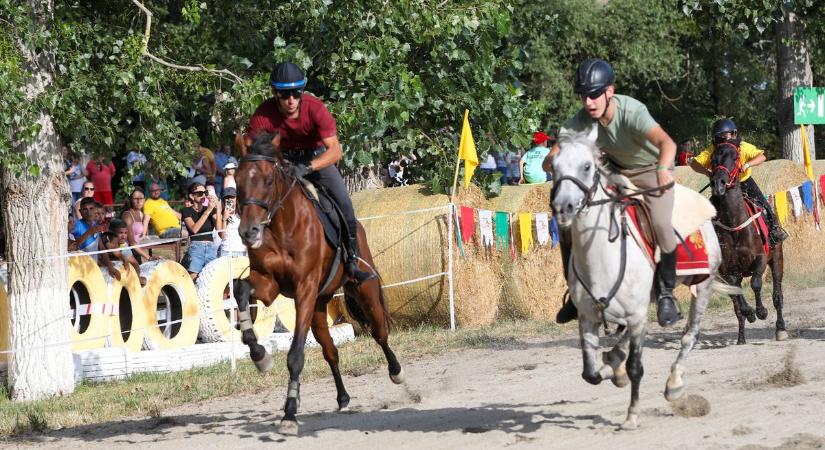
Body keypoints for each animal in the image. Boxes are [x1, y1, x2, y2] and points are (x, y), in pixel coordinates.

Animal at [232, 132, 402, 434]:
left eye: (268, 180)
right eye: (238, 180)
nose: (248, 232)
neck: (281, 227)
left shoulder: (305, 289)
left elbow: (295, 355)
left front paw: (289, 412)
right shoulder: (267, 285)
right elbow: (241, 290)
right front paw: (259, 354)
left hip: (363, 289)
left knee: (379, 333)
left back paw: (396, 371)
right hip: (319, 308)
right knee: (330, 351)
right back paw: (343, 398)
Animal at [552, 125, 736, 428]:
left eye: (587, 166)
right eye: (553, 166)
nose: (562, 207)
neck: (600, 258)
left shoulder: (637, 315)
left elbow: (636, 367)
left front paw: (632, 415)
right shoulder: (588, 316)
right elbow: (590, 373)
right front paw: (611, 370)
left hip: (704, 286)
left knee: (689, 336)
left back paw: (674, 383)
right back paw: (614, 360)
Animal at [708, 143, 784, 344]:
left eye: (735, 158)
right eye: (713, 158)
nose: (719, 183)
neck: (735, 224)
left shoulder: (761, 258)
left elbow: (756, 283)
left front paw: (761, 311)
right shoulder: (728, 271)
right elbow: (738, 297)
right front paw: (749, 312)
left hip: (777, 260)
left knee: (777, 295)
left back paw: (781, 328)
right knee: (737, 306)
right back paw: (741, 337)